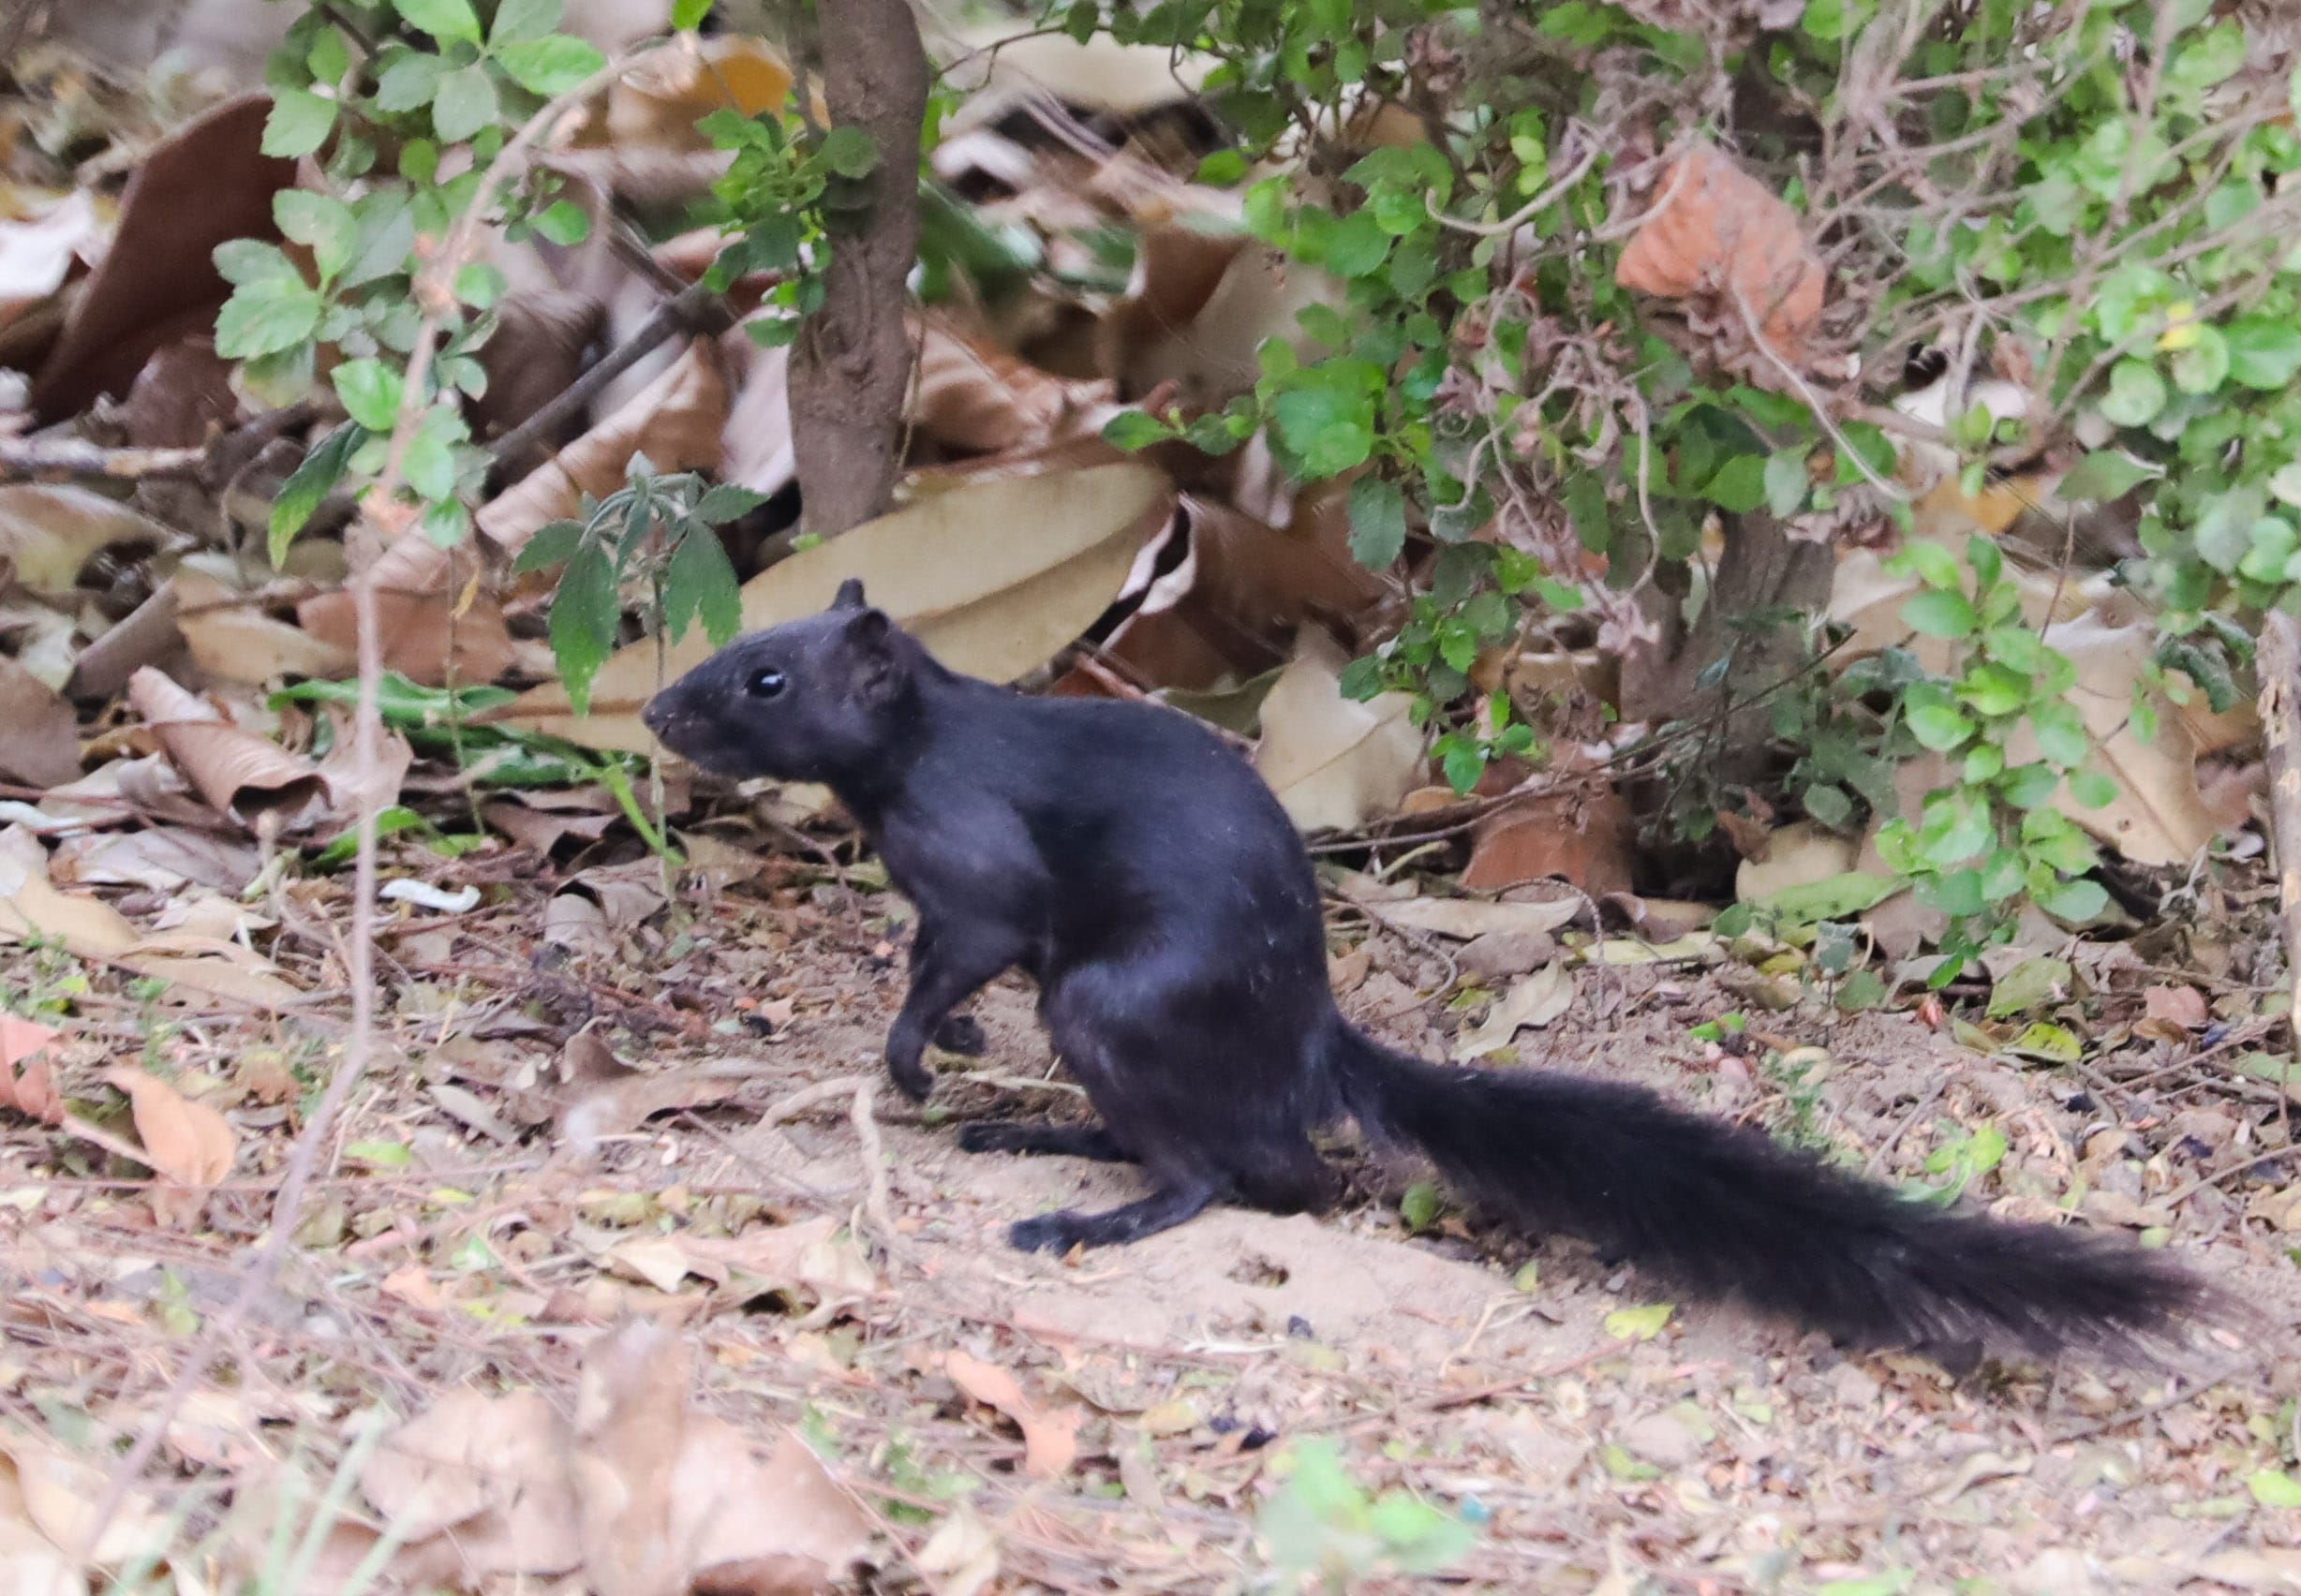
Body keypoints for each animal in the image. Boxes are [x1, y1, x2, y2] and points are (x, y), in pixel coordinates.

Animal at [642, 582, 2215, 1367]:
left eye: (768, 681)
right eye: (743, 643)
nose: (656, 710)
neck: (917, 751)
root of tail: (1311, 1044)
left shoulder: (978, 873)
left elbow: (948, 960)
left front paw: (922, 1052)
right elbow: (931, 963)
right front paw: (954, 1056)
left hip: (1104, 1002)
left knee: (1247, 1175)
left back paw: (1100, 1214)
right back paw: (1049, 1134)